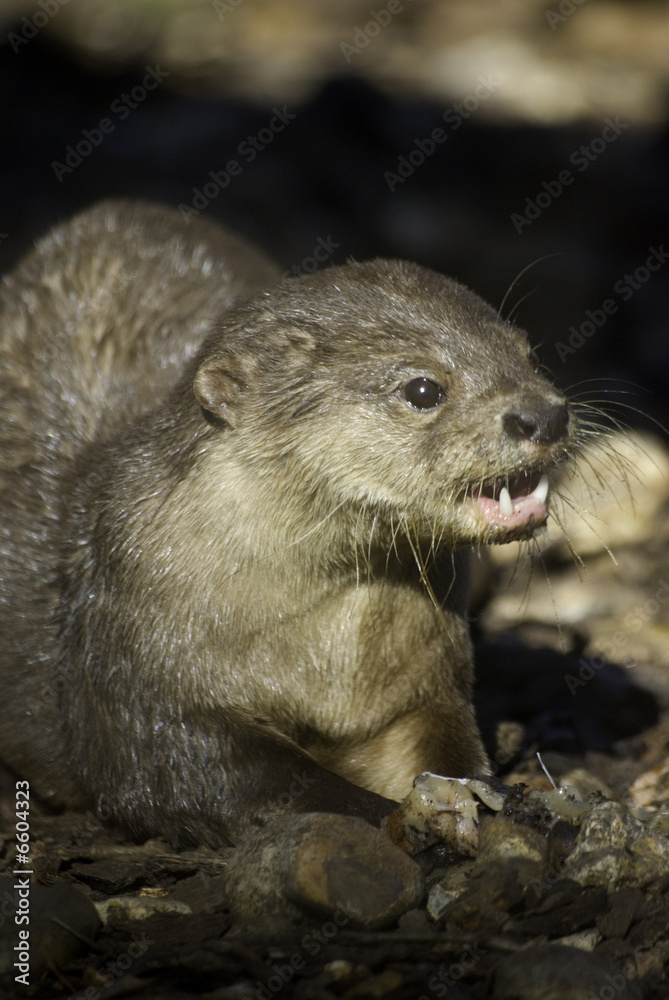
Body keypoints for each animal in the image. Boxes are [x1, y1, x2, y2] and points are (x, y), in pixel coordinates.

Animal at [0, 201, 574, 848]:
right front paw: (407, 820)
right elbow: (210, 778)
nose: (544, 415)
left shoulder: (418, 683)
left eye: (529, 355)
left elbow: (442, 738)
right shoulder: (139, 680)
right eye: (423, 388)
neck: (325, 659)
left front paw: (505, 800)